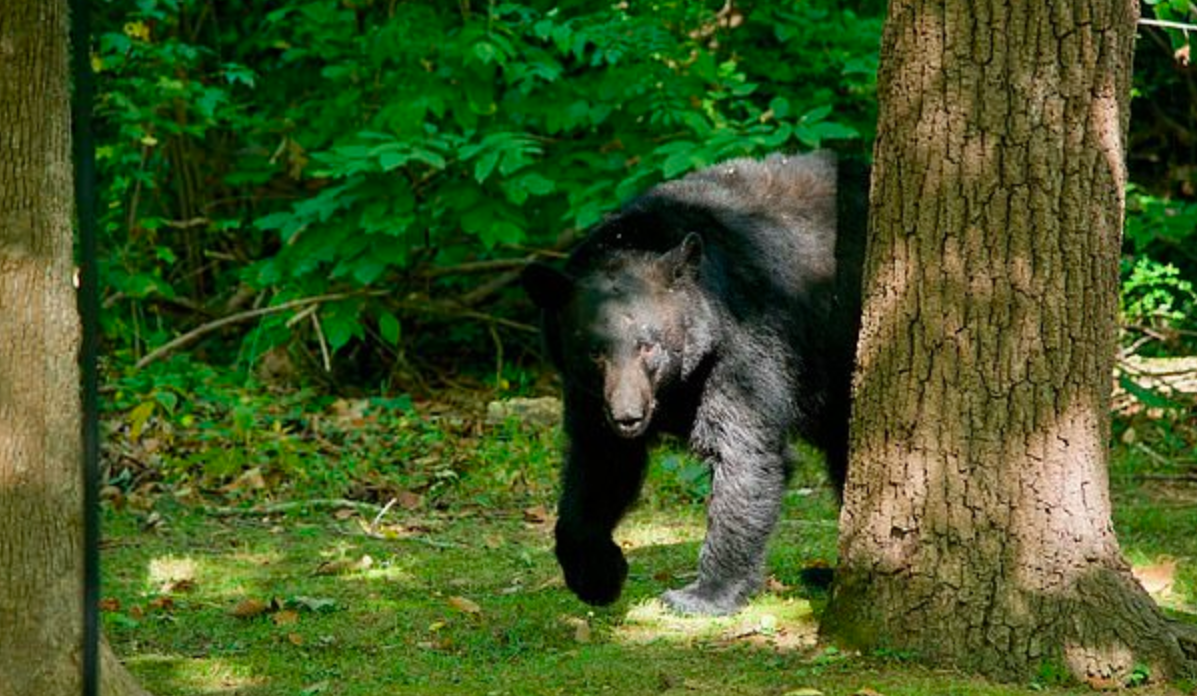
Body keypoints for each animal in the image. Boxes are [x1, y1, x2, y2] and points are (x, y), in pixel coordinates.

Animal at [521, 151, 866, 616]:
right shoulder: (589, 393)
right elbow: (599, 462)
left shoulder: (745, 346)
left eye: (648, 344)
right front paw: (596, 574)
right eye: (593, 350)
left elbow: (741, 454)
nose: (628, 416)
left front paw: (706, 593)